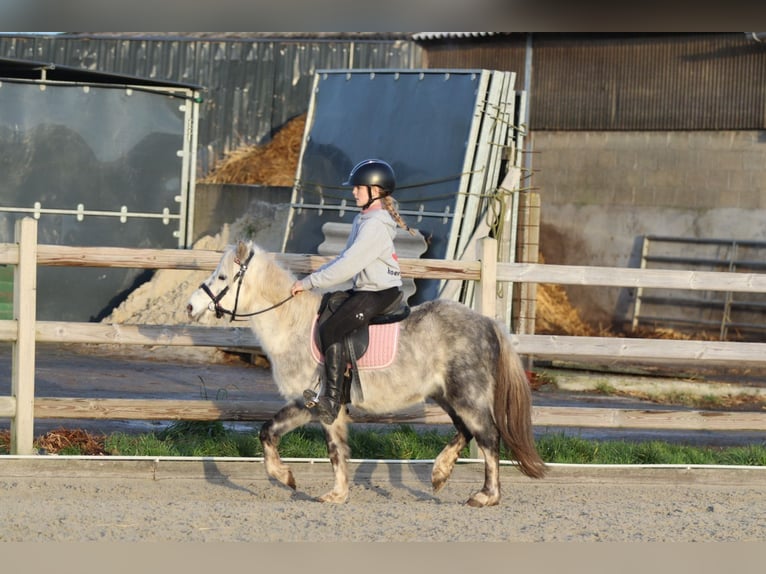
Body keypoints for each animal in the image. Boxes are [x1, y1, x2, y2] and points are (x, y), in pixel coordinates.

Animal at [186, 240, 547, 507]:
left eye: (222, 278)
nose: (190, 307)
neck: (294, 326)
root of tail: (487, 322)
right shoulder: (308, 405)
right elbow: (272, 433)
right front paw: (296, 480)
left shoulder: (320, 405)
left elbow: (331, 450)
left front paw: (324, 491)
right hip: (446, 396)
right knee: (466, 431)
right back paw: (439, 474)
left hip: (467, 396)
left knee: (488, 437)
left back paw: (486, 496)